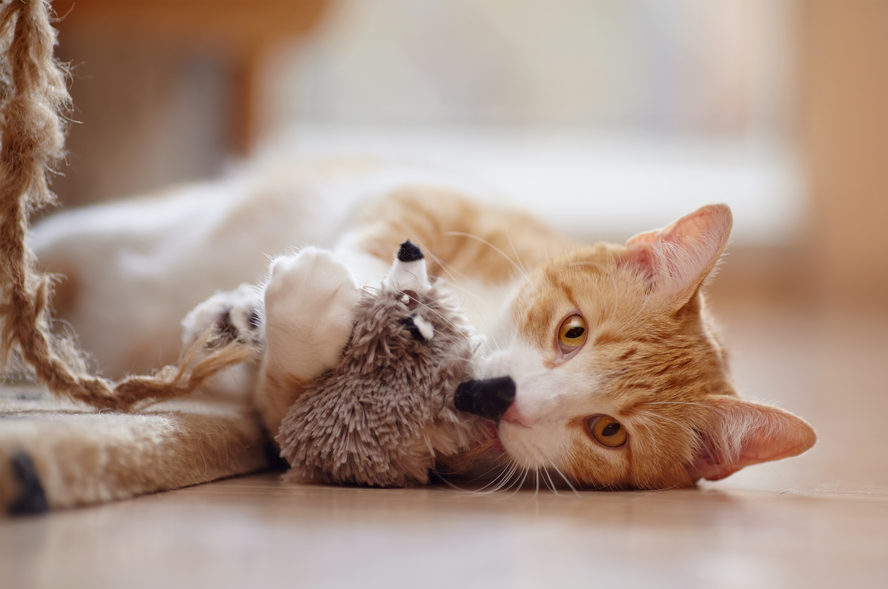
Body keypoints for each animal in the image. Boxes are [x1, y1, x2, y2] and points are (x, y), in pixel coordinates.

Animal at [31, 157, 816, 486]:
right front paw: (256, 305)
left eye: (608, 432)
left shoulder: (282, 419)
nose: (499, 397)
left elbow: (291, 395)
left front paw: (297, 314)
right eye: (573, 332)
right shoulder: (431, 196)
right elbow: (383, 237)